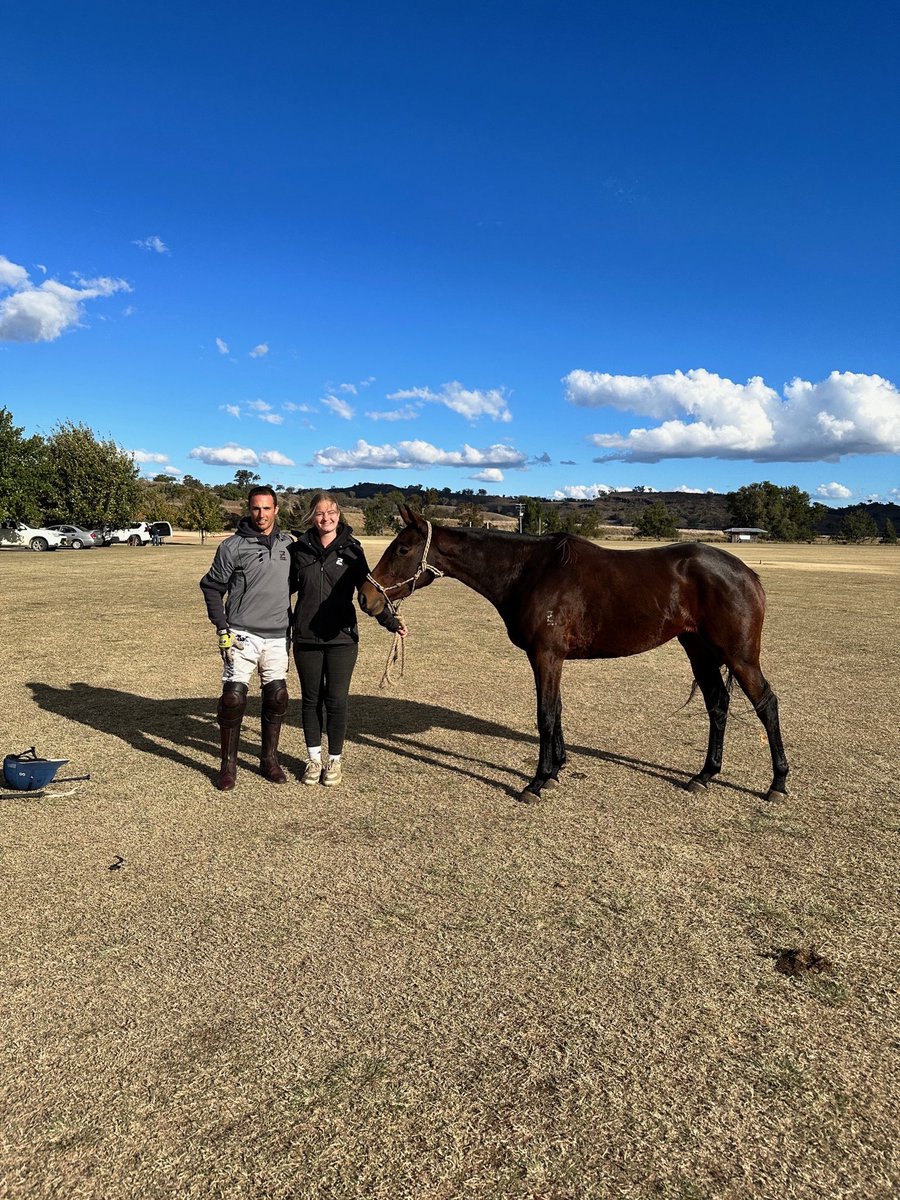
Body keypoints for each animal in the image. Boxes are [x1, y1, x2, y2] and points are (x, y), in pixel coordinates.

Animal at [358, 505, 789, 804]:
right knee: (717, 704)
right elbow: (558, 710)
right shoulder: (553, 657)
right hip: (699, 650)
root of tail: (747, 573)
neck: (528, 572)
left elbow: (546, 715)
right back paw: (704, 776)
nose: (365, 598)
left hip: (739, 656)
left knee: (766, 703)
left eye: (402, 548)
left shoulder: (545, 654)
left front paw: (536, 781)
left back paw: (777, 783)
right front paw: (555, 771)